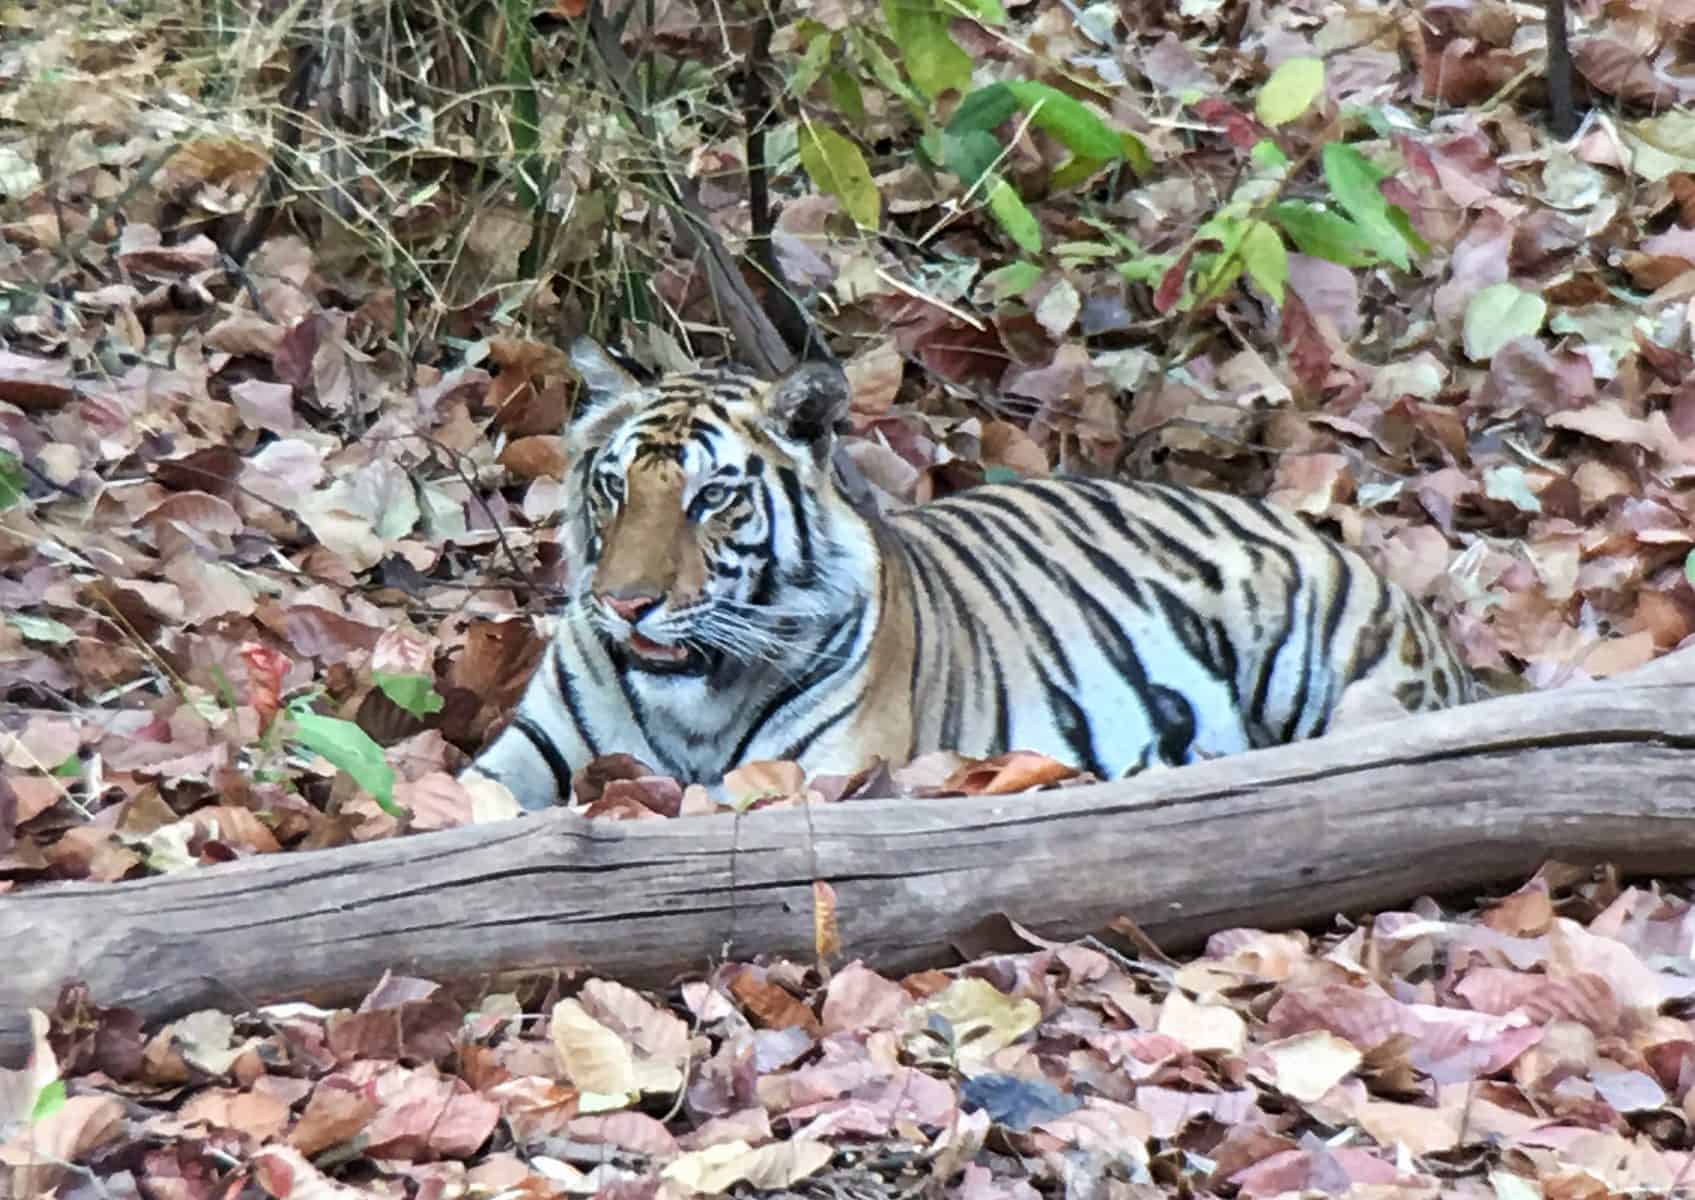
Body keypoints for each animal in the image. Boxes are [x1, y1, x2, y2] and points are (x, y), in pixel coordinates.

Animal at [471, 337, 1478, 806]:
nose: (625, 605)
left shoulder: (823, 773)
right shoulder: (537, 745)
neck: (695, 697)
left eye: (712, 497)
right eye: (613, 487)